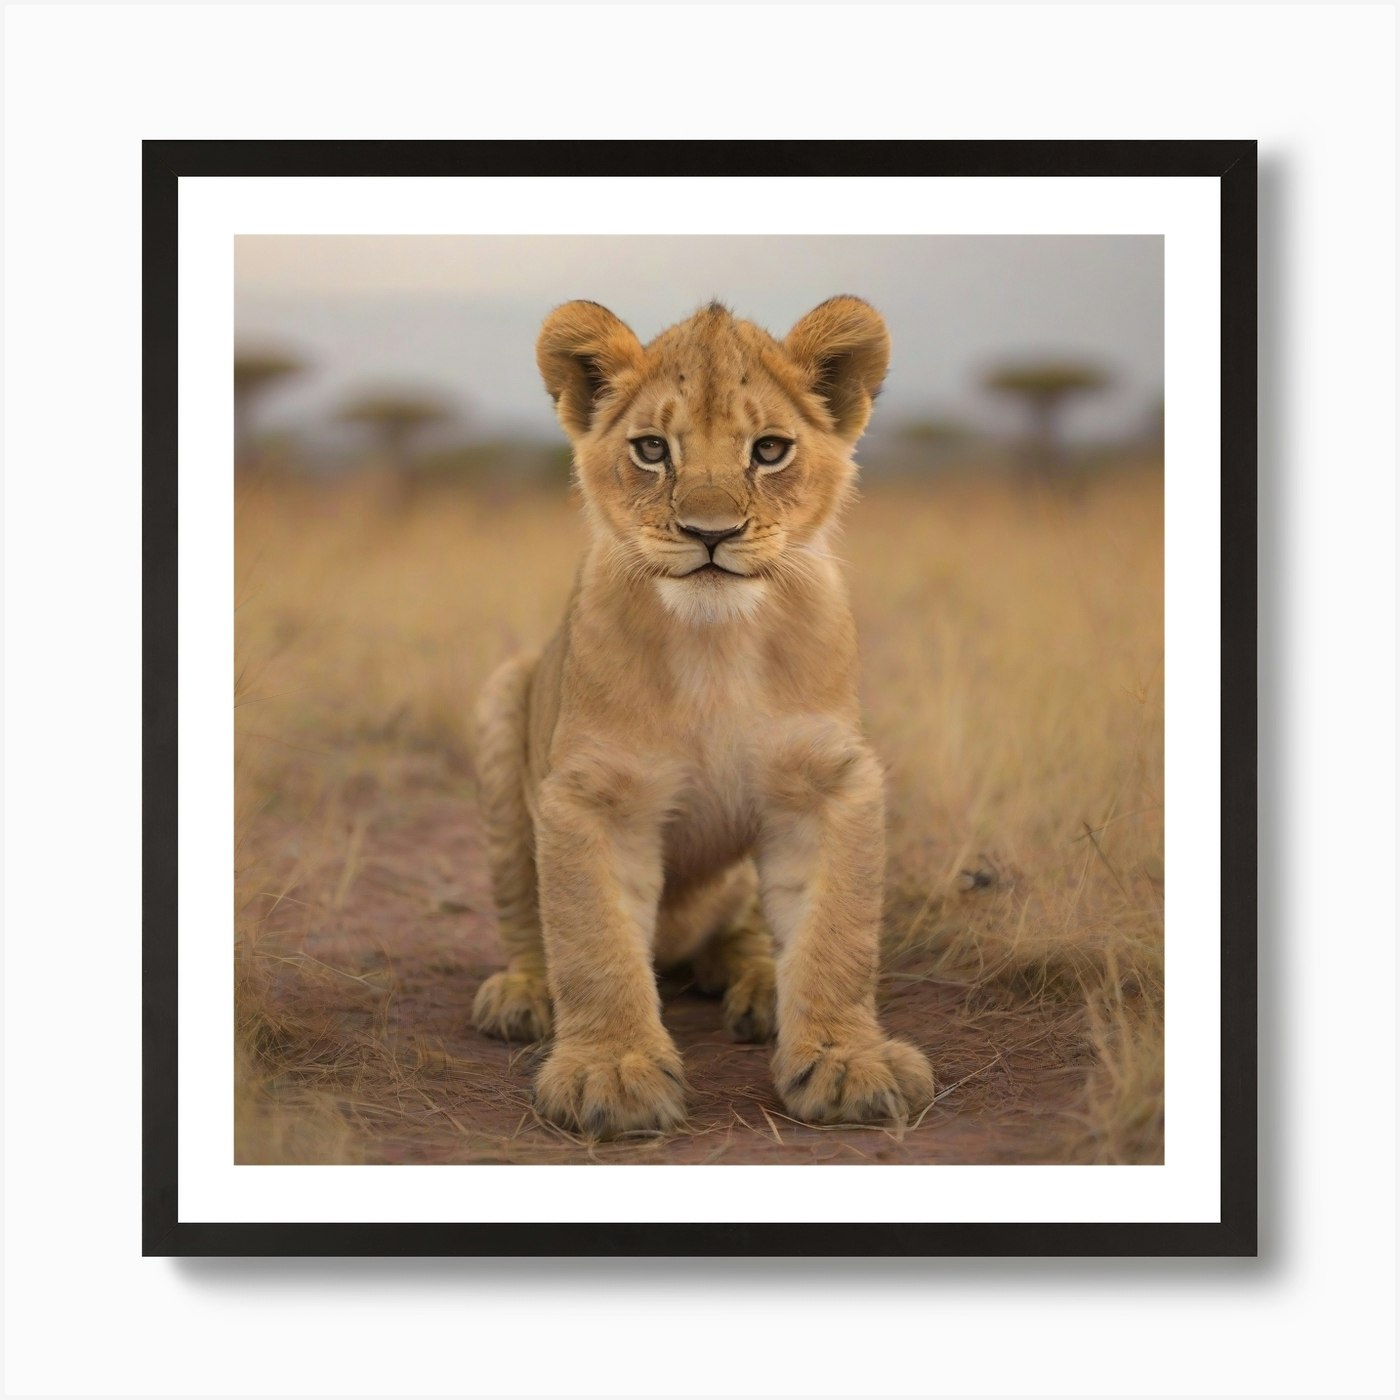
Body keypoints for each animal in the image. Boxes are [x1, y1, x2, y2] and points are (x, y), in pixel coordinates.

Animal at [470, 296, 934, 1138]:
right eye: (652, 449)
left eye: (770, 450)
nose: (710, 533)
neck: (716, 643)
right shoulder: (594, 793)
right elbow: (592, 940)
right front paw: (611, 1072)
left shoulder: (828, 780)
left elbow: (838, 933)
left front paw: (847, 1061)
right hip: (502, 696)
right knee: (527, 912)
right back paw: (522, 994)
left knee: (746, 926)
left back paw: (756, 983)